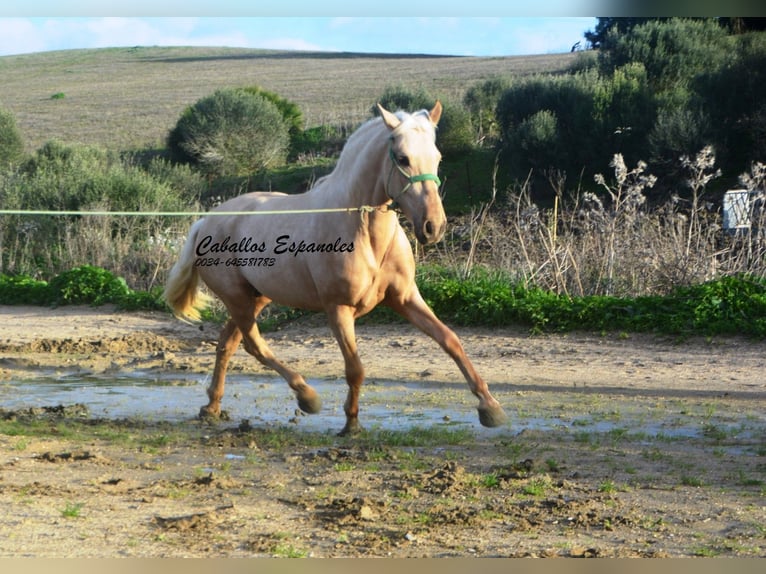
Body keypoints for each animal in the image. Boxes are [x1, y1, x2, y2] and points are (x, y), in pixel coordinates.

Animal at [163, 101, 507, 435]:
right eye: (403, 158)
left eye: (437, 157)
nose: (433, 227)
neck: (365, 233)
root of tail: (206, 222)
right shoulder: (339, 309)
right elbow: (355, 368)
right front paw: (351, 424)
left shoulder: (405, 298)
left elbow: (450, 340)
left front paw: (490, 408)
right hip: (238, 300)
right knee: (252, 344)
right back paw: (307, 396)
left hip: (255, 297)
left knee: (227, 343)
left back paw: (212, 407)